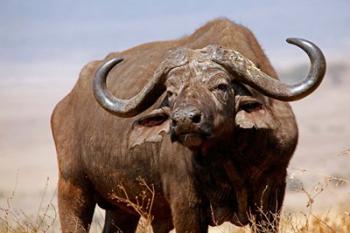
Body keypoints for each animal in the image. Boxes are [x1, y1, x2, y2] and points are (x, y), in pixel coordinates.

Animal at [51, 18, 326, 233]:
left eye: (221, 86)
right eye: (171, 92)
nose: (184, 120)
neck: (229, 158)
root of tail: (64, 105)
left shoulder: (271, 195)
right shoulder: (186, 203)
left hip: (123, 208)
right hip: (72, 189)